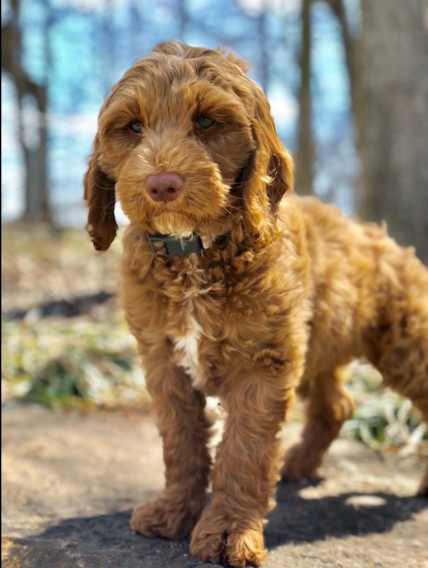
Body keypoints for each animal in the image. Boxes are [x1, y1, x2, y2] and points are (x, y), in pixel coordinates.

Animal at [84, 41, 428, 568]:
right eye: (134, 127)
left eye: (207, 121)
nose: (162, 184)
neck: (195, 254)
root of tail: (382, 236)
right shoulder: (164, 360)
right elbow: (180, 441)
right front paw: (172, 513)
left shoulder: (263, 363)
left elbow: (243, 450)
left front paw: (228, 532)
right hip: (319, 344)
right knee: (337, 404)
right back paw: (301, 463)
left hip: (403, 347)